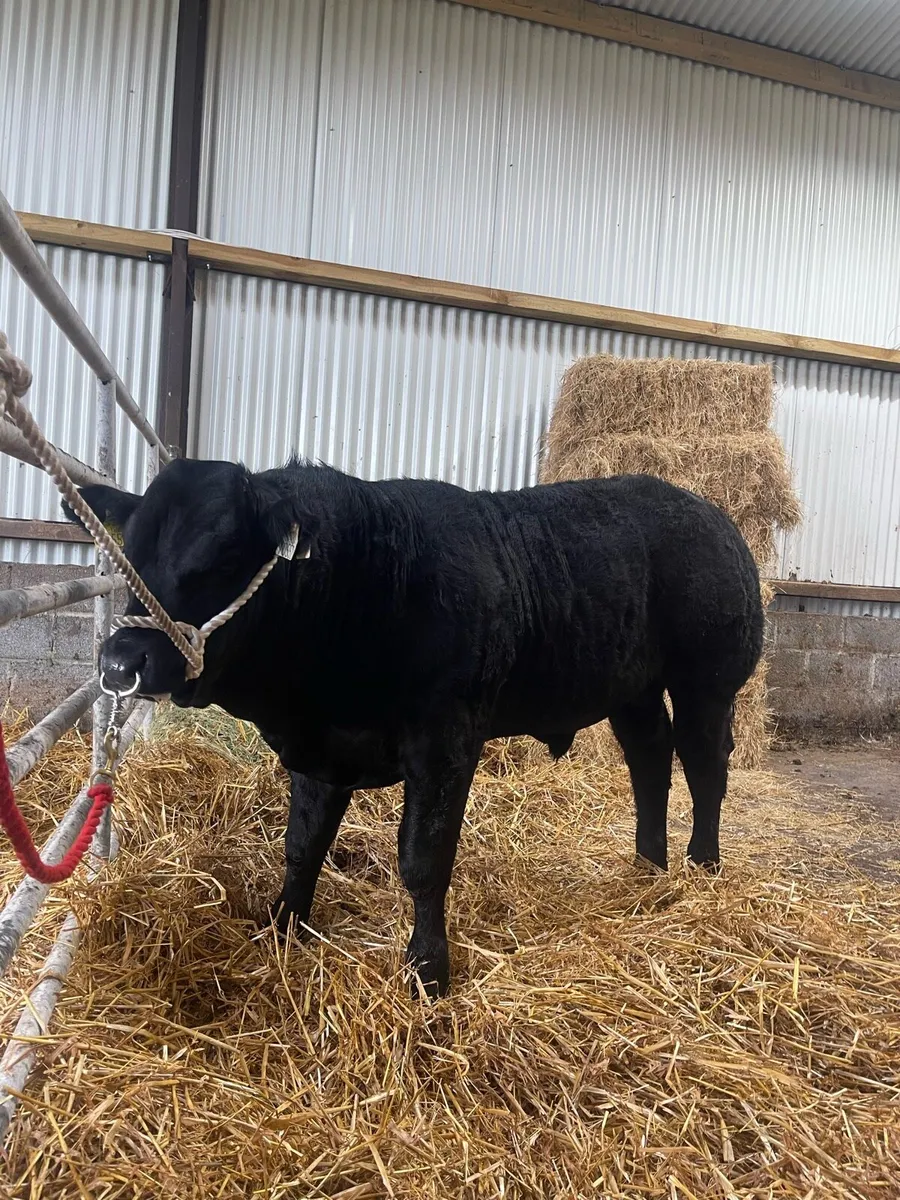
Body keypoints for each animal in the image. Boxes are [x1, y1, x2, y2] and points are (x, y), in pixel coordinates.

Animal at [65, 458, 764, 997]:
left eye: (224, 554)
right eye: (130, 554)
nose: (122, 662)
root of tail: (712, 516)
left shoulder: (445, 742)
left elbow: (424, 859)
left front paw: (428, 970)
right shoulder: (323, 751)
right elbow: (302, 845)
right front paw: (282, 926)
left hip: (707, 681)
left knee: (705, 766)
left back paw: (702, 869)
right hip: (633, 690)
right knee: (650, 760)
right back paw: (648, 869)